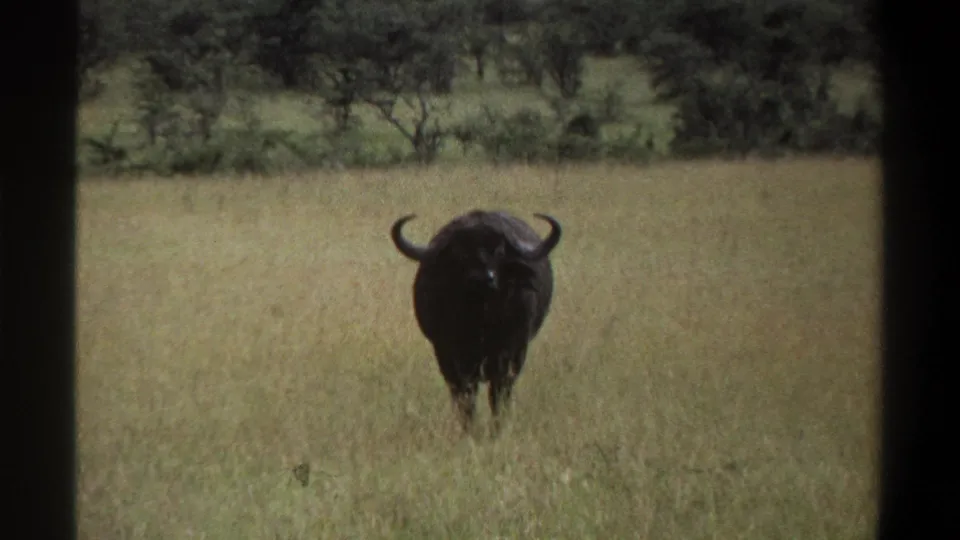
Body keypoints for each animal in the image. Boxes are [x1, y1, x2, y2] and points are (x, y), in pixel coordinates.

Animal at [390, 209, 562, 435]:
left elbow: (498, 396)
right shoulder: (449, 355)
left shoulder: (509, 354)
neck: (481, 318)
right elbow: (465, 397)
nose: (483, 278)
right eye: (460, 252)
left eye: (499, 251)